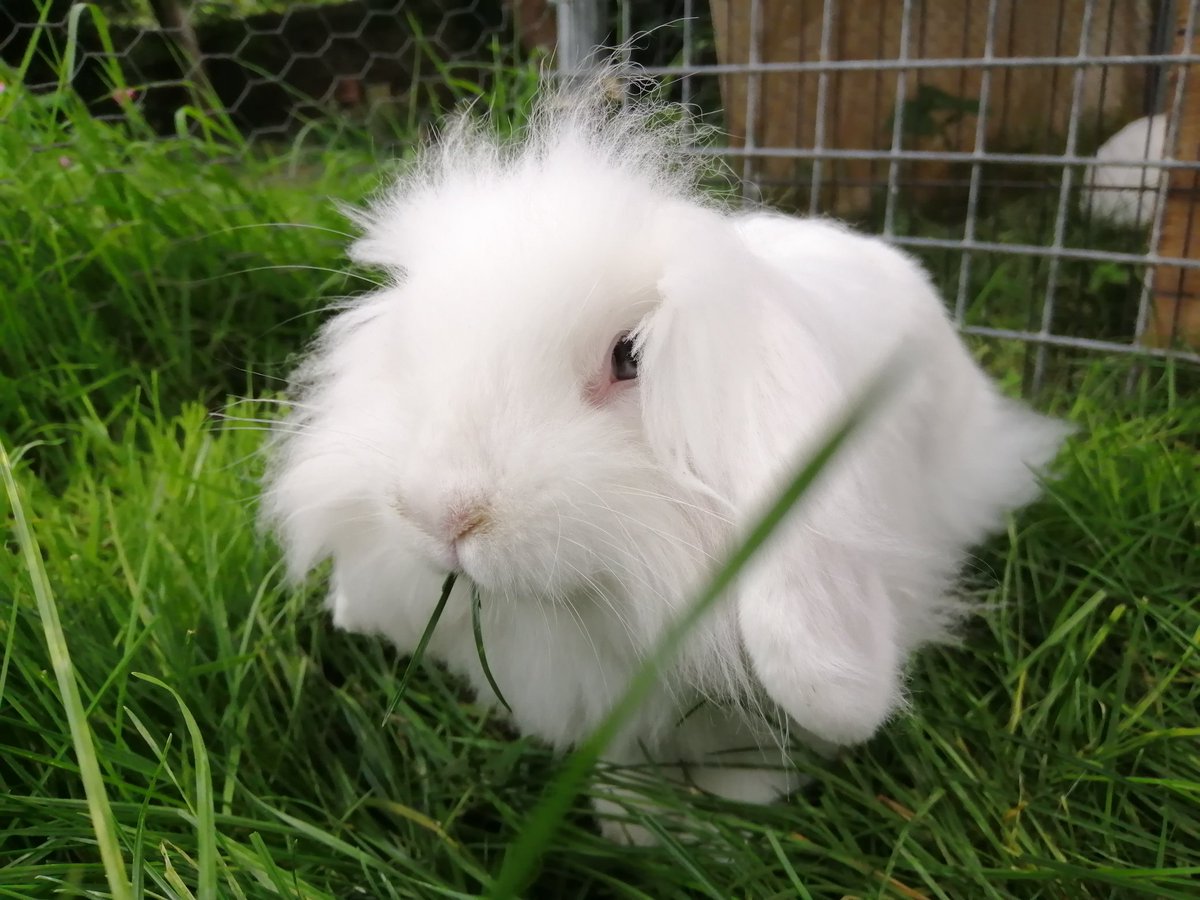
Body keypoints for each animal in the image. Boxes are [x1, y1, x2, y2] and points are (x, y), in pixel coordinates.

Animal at [262, 66, 1067, 842]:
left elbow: (757, 760)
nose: (440, 512)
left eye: (630, 356)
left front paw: (726, 825)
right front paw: (632, 825)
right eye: (411, 350)